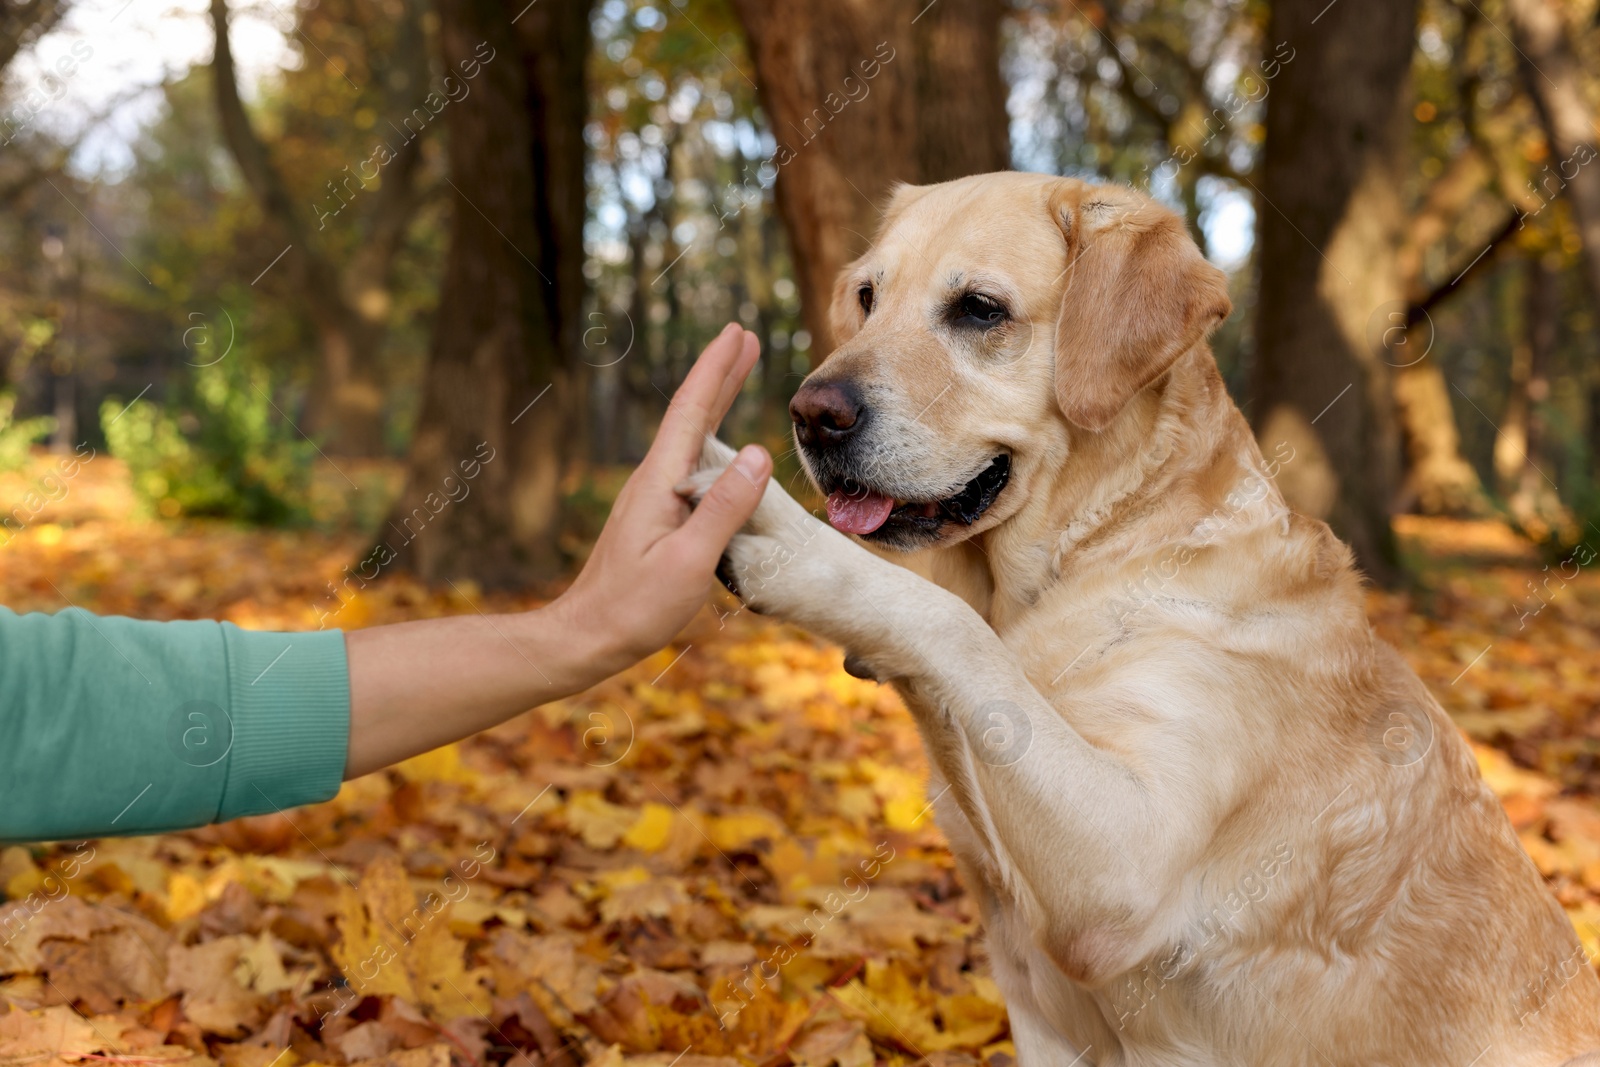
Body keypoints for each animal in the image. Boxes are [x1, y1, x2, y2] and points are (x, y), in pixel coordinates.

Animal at [688, 171, 1600, 1062]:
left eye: (979, 309)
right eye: (869, 297)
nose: (812, 415)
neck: (1097, 551)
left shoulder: (1124, 869)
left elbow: (952, 626)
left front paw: (785, 541)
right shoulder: (1037, 999)